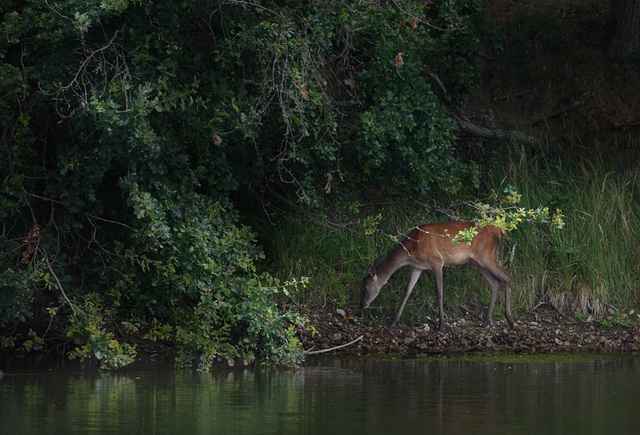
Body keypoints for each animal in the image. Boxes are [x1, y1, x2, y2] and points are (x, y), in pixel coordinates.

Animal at [360, 223, 516, 332]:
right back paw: (485, 322)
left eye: (365, 287)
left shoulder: (437, 262)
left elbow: (439, 292)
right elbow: (407, 291)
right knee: (495, 281)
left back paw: (510, 320)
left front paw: (441, 325)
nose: (362, 305)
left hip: (486, 256)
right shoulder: (417, 266)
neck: (411, 248)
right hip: (476, 261)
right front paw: (392, 323)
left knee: (506, 276)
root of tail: (498, 231)